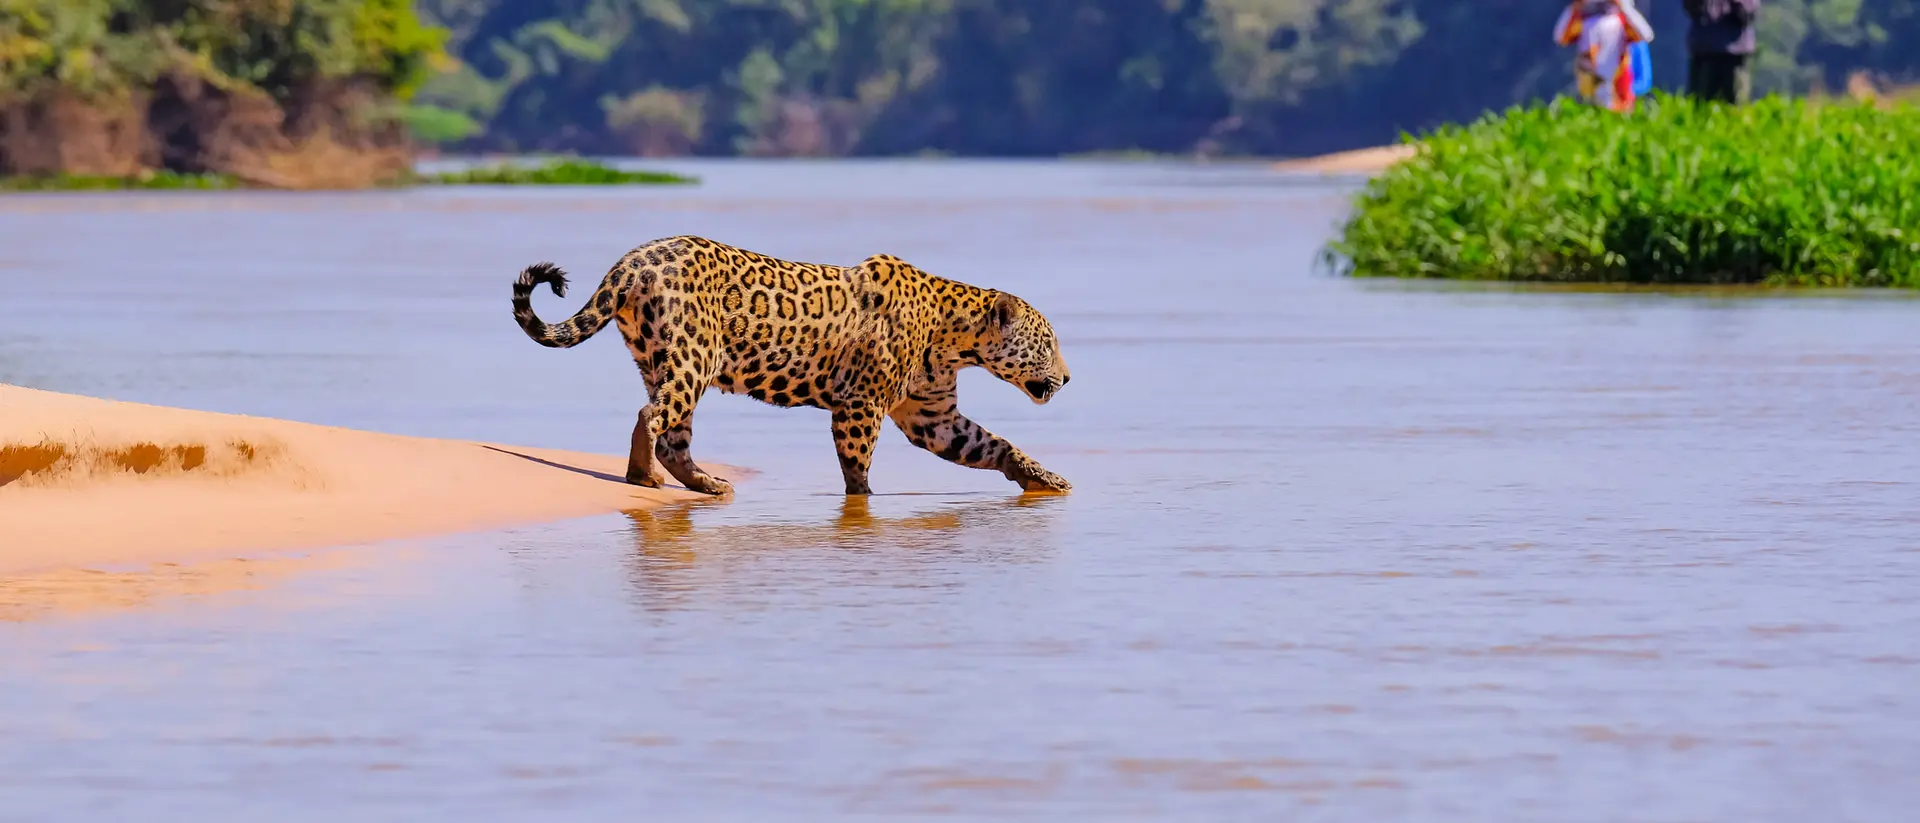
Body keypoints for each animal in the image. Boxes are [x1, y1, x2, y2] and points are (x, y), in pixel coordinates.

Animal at [510, 235, 1073, 497]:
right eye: (1048, 343)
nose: (1068, 377)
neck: (954, 336)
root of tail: (634, 260)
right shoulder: (861, 405)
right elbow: (857, 467)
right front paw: (864, 503)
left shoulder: (932, 417)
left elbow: (994, 445)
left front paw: (1045, 478)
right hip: (694, 355)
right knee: (653, 416)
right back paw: (642, 477)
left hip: (660, 357)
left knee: (673, 434)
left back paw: (706, 484)